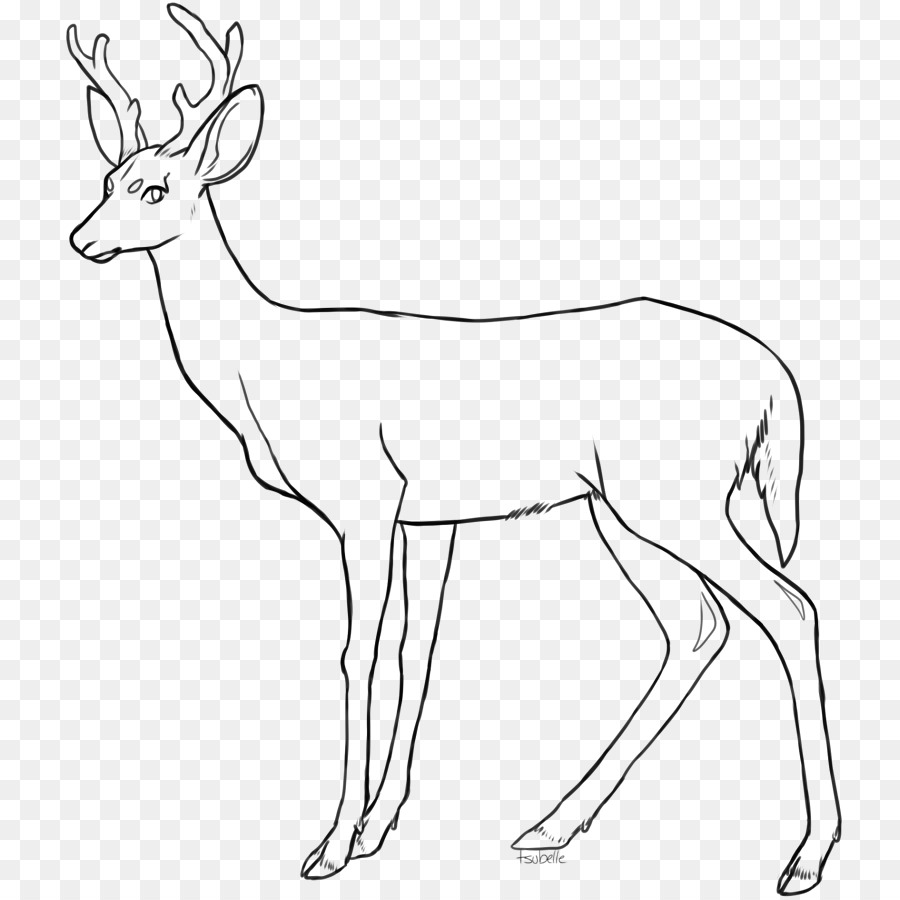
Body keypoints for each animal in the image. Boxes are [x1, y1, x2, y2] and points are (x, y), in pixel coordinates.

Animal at [67, 5, 841, 892]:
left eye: (156, 189)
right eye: (106, 181)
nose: (81, 239)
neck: (262, 373)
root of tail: (776, 379)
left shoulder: (362, 502)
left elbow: (360, 655)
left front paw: (330, 847)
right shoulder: (428, 518)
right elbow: (417, 650)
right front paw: (376, 828)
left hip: (672, 494)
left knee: (788, 608)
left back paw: (808, 855)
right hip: (630, 506)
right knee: (698, 626)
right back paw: (552, 822)